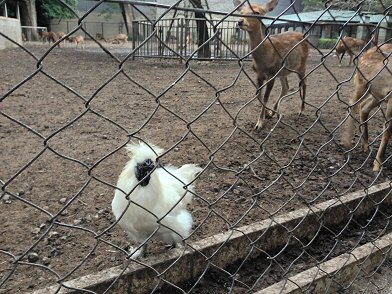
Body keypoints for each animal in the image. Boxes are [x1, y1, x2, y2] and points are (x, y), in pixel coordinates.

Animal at [233, 0, 310, 130]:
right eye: (241, 12)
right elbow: (258, 95)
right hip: (283, 71)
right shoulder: (259, 74)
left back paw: (301, 110)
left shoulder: (272, 74)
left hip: (302, 65)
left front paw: (259, 123)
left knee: (303, 83)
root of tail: (304, 37)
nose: (240, 21)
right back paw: (273, 112)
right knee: (286, 87)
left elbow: (265, 97)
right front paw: (266, 115)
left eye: (257, 12)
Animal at [340, 43, 392, 172]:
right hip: (363, 83)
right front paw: (377, 166)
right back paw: (347, 141)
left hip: (377, 94)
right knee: (353, 103)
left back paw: (365, 146)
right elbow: (387, 130)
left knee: (364, 107)